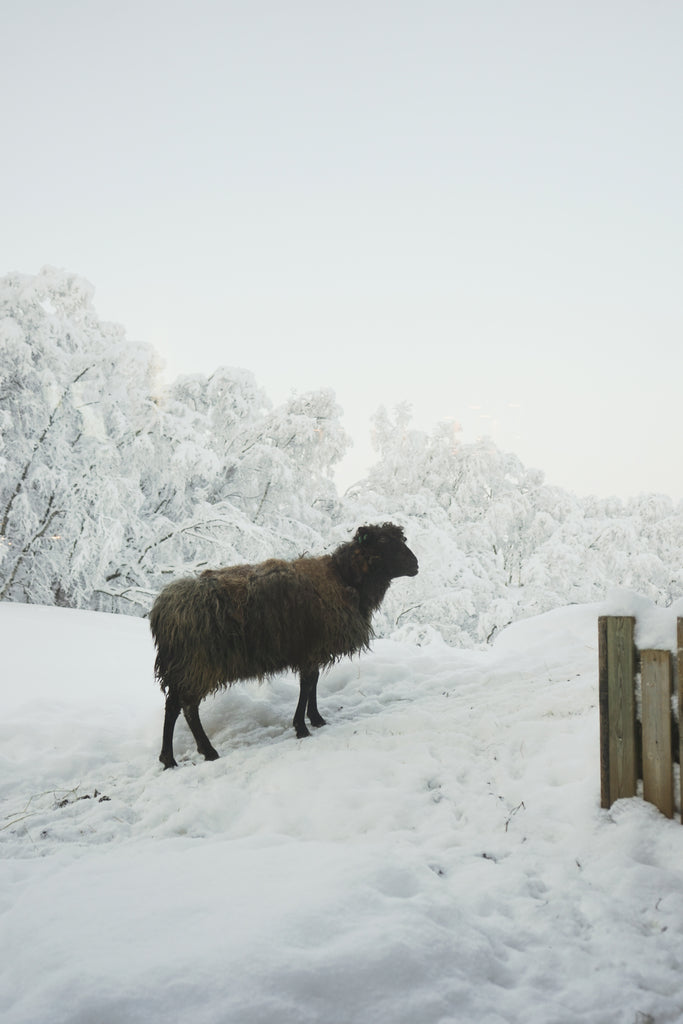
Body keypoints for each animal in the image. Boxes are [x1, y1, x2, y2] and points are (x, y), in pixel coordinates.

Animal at [149, 520, 417, 770]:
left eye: (402, 539)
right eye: (382, 541)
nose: (415, 564)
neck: (343, 578)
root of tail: (164, 609)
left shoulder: (313, 649)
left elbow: (313, 683)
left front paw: (316, 719)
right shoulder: (310, 647)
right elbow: (307, 685)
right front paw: (301, 727)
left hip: (183, 667)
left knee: (172, 706)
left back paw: (168, 759)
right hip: (199, 664)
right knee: (189, 708)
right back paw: (208, 751)